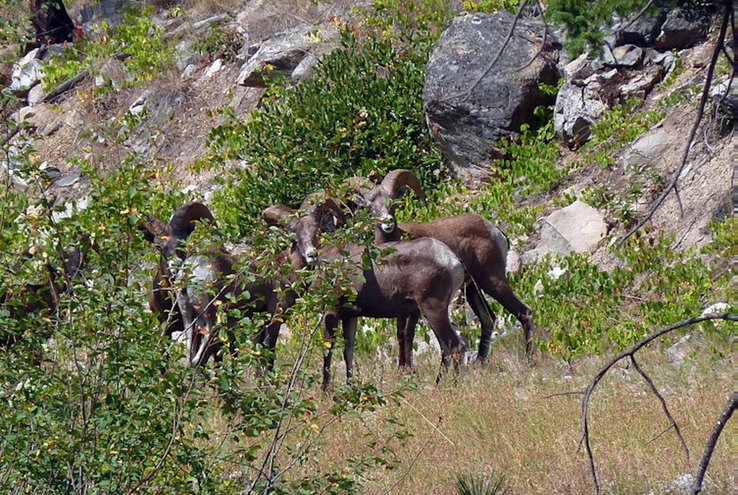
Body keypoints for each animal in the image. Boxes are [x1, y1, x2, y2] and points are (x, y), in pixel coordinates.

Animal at [287, 198, 467, 391]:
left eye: (315, 230)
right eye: (296, 235)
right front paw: (350, 387)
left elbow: (328, 352)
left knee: (456, 347)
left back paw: (453, 387)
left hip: (433, 309)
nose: (310, 254)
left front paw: (325, 392)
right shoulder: (350, 317)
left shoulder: (331, 313)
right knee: (446, 349)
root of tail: (452, 261)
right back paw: (438, 386)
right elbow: (348, 352)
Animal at [347, 169, 535, 366]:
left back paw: (530, 361)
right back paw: (479, 364)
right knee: (488, 319)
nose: (387, 221)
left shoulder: (415, 307)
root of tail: (495, 231)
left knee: (524, 312)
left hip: (492, 281)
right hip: (472, 289)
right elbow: (400, 334)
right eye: (371, 207)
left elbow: (408, 334)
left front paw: (408, 369)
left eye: (393, 202)